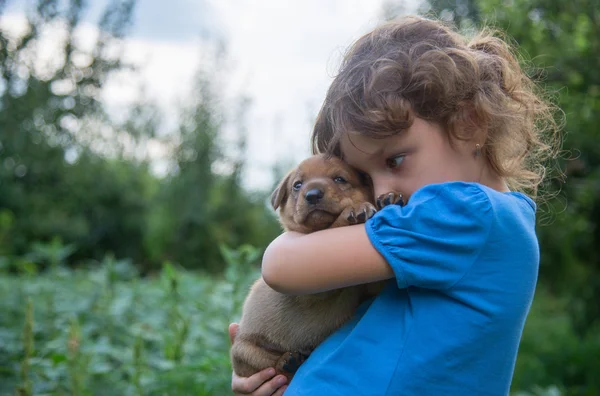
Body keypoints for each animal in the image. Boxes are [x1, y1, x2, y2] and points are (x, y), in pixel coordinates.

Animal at [230, 154, 398, 380]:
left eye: (339, 179)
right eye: (297, 185)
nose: (312, 195)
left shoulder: (369, 288)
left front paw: (391, 197)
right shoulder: (313, 291)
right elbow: (336, 223)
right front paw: (355, 210)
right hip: (244, 352)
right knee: (271, 366)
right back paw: (288, 361)